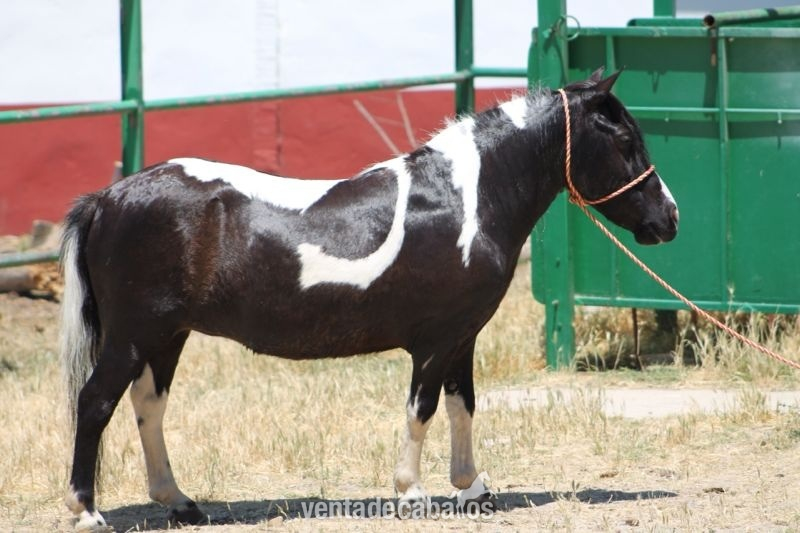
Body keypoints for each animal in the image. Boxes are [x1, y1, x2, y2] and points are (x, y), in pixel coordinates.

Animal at [60, 69, 678, 529]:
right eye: (625, 142)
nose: (669, 218)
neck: (467, 202)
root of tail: (107, 198)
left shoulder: (462, 338)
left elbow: (463, 406)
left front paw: (472, 489)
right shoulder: (435, 341)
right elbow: (422, 409)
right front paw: (412, 493)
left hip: (166, 335)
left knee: (148, 407)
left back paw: (182, 503)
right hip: (133, 335)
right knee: (95, 404)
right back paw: (86, 512)